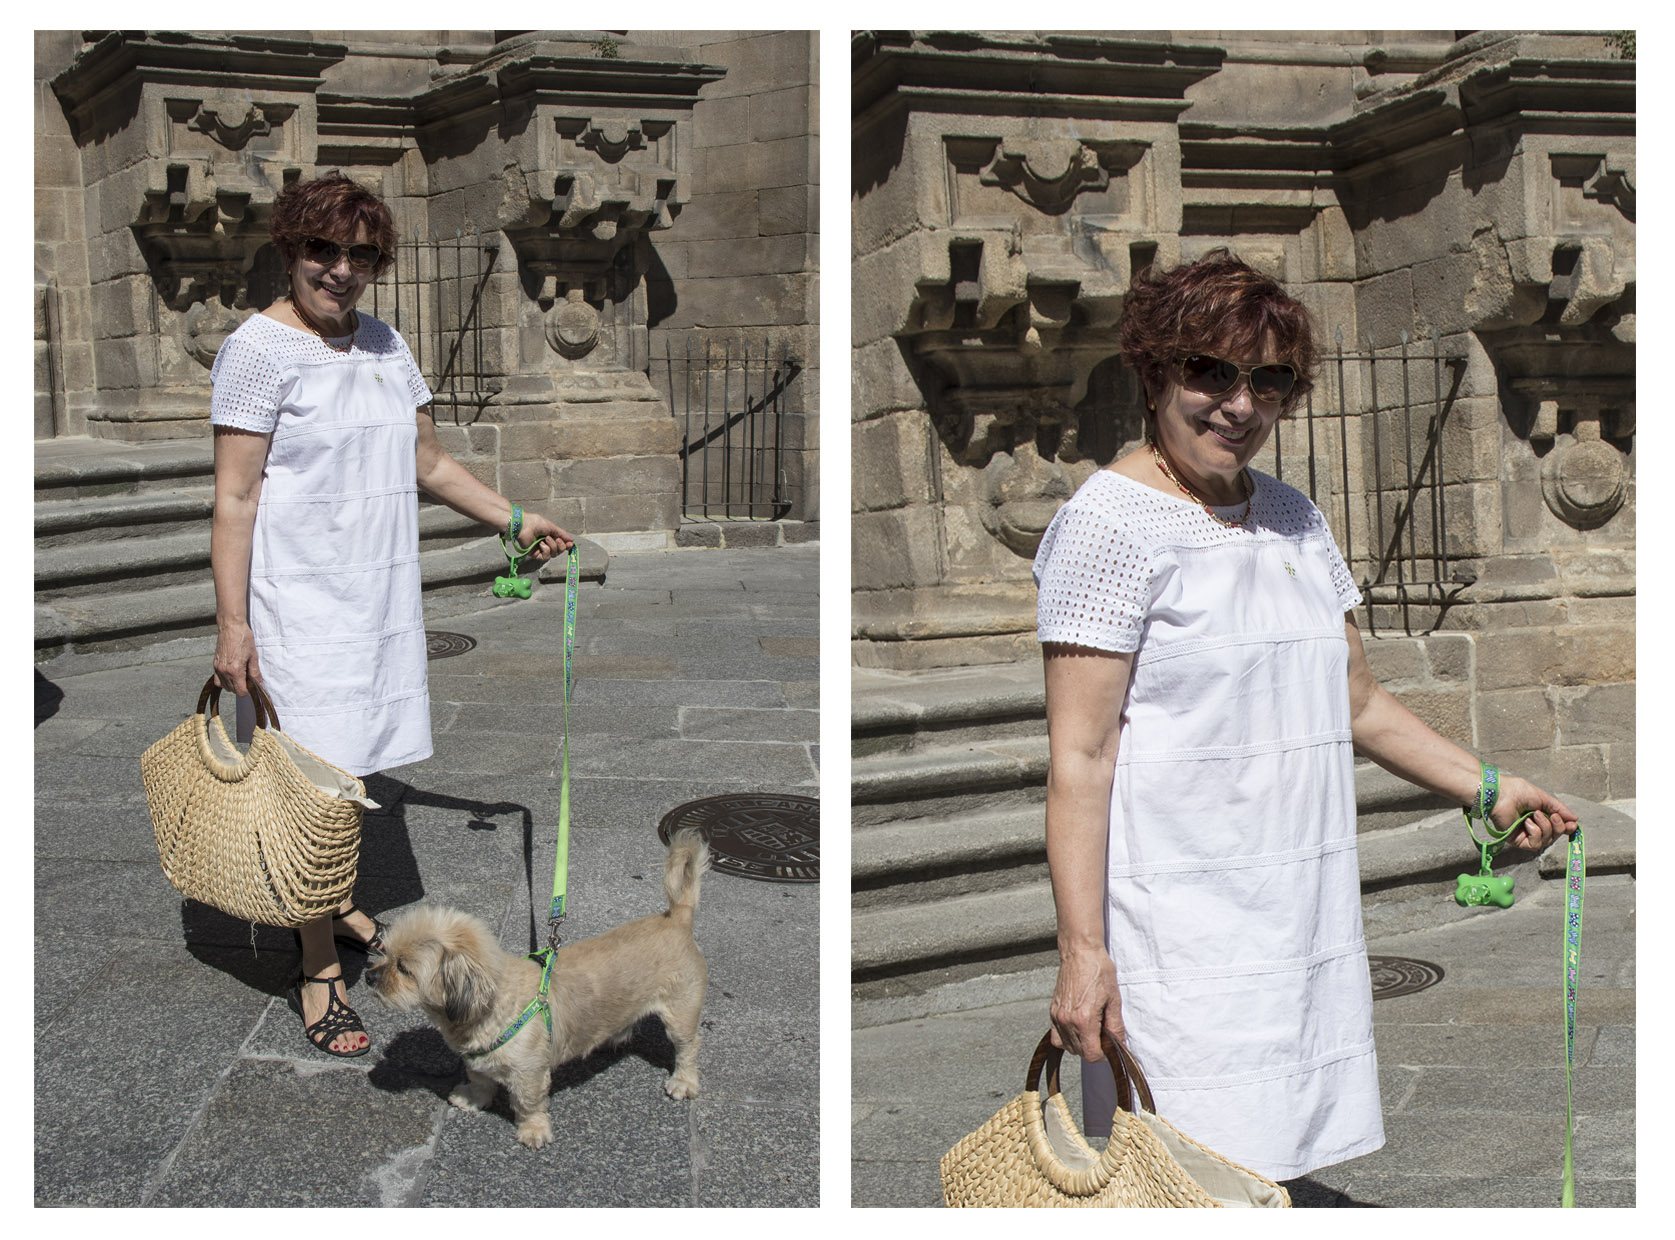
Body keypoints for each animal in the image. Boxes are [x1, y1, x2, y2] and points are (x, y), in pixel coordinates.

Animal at [370, 827, 710, 1146]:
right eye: (383, 951)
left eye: (404, 968)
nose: (370, 976)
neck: (495, 1007)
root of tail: (677, 916)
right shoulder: (477, 1061)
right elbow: (479, 1081)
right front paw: (473, 1099)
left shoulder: (529, 1073)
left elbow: (528, 1103)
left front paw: (533, 1130)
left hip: (680, 1015)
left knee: (689, 1047)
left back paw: (684, 1082)